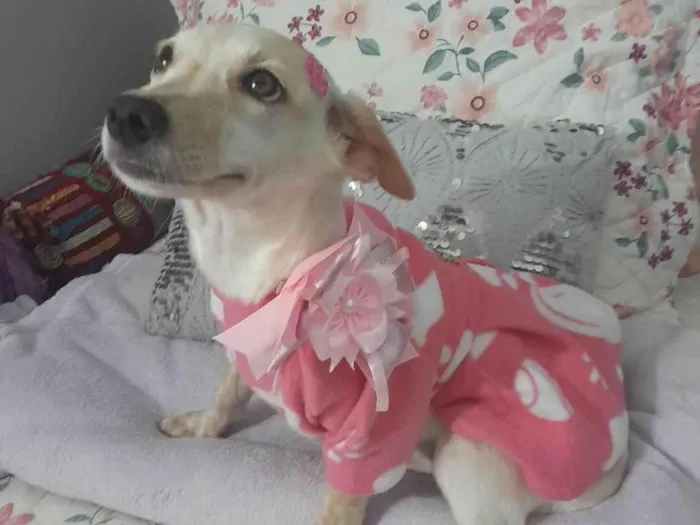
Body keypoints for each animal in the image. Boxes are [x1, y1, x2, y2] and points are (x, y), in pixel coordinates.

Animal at [102, 24, 629, 525]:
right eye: (162, 59)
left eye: (262, 84)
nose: (126, 113)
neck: (266, 266)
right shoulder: (244, 350)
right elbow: (226, 394)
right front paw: (201, 426)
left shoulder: (372, 429)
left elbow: (344, 499)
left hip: (467, 457)